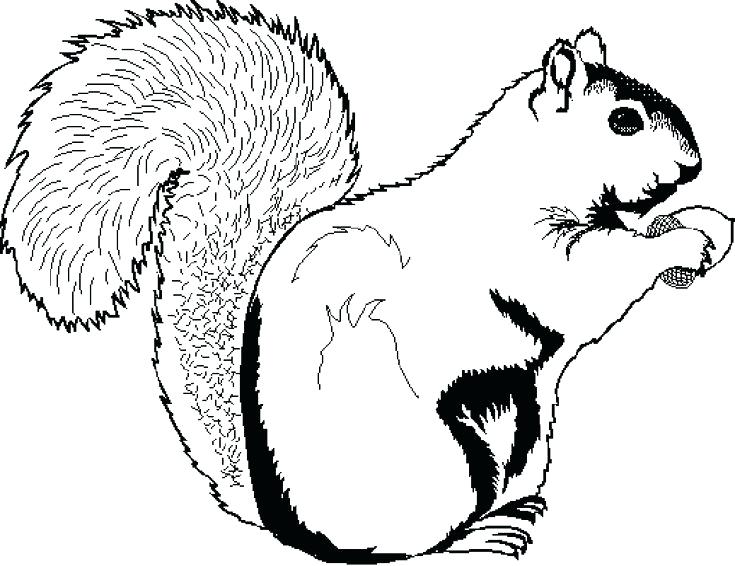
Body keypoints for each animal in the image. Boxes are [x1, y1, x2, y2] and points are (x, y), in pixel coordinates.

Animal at [1, 1, 728, 562]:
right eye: (623, 120)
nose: (694, 165)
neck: (522, 175)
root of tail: (287, 523)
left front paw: (703, 225)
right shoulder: (521, 254)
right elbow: (584, 279)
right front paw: (684, 239)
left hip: (526, 437)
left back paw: (508, 516)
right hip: (431, 460)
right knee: (405, 548)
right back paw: (472, 541)